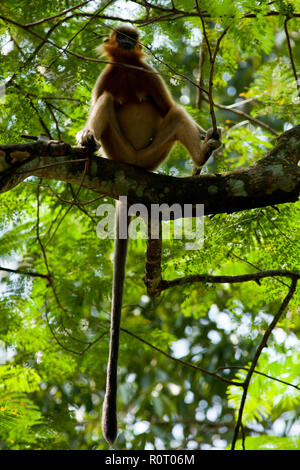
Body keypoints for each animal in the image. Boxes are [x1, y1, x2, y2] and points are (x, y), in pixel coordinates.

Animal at [75, 24, 220, 444]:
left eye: (130, 37)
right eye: (119, 36)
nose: (125, 42)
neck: (127, 68)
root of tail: (133, 168)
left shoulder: (149, 75)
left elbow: (168, 105)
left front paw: (204, 139)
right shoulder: (108, 74)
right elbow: (103, 96)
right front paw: (84, 135)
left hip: (153, 154)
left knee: (174, 113)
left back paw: (203, 154)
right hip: (119, 150)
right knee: (108, 102)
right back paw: (88, 142)